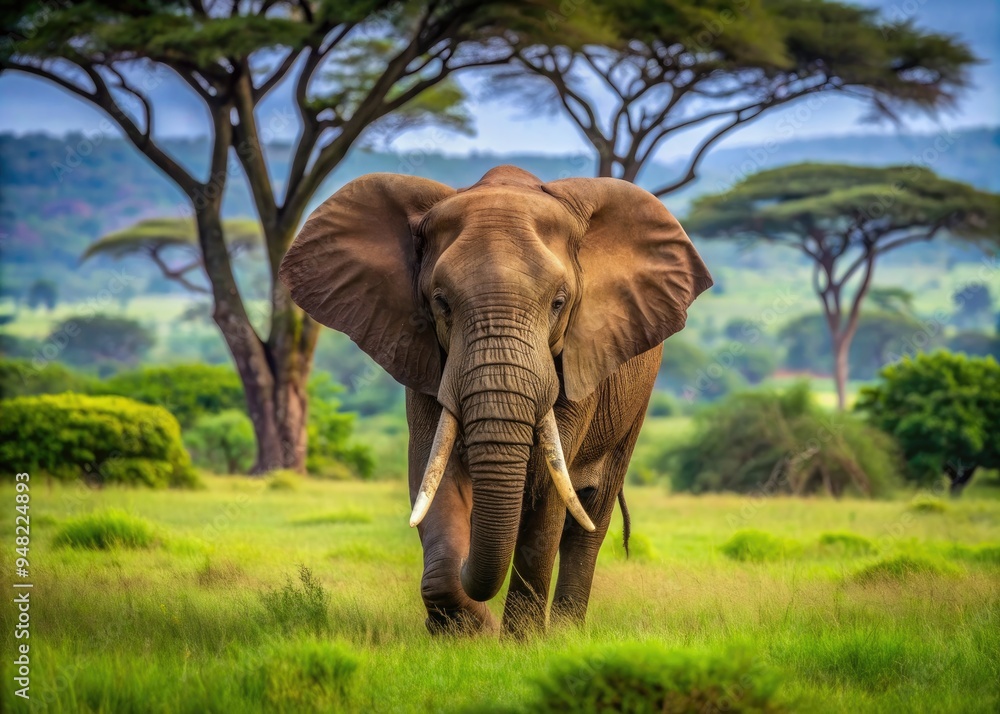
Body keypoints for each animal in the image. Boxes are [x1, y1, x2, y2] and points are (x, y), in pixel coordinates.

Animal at [279, 165, 712, 635]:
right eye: (441, 303)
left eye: (559, 303)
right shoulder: (427, 359)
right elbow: (433, 473)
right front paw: (463, 632)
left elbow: (544, 489)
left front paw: (520, 642)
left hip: (634, 406)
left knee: (589, 520)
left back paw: (566, 632)